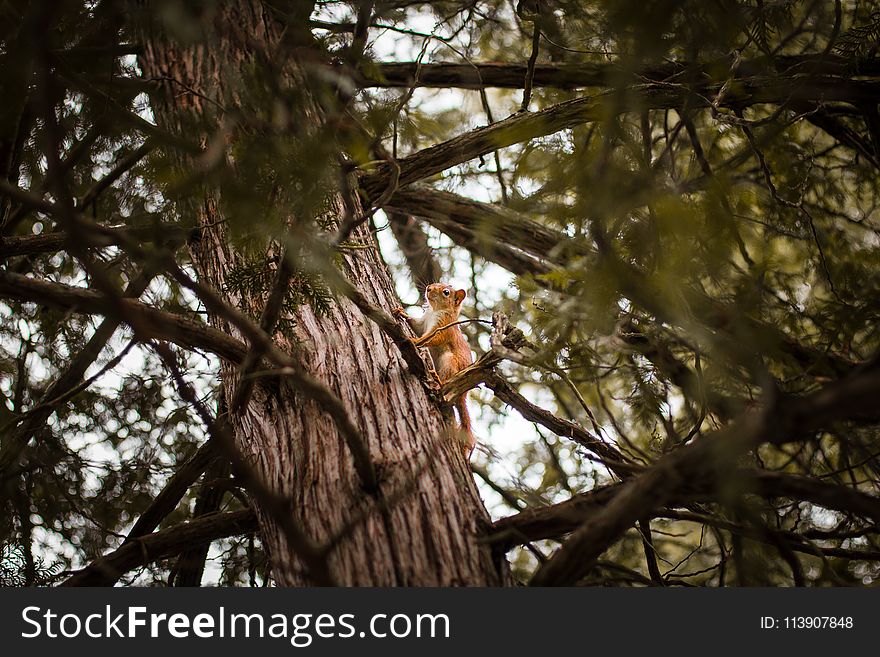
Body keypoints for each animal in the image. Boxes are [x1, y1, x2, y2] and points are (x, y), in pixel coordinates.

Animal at [396, 284, 474, 458]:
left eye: (446, 292)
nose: (428, 288)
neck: (435, 310)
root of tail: (463, 394)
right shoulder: (423, 322)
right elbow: (416, 325)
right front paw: (401, 313)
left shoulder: (442, 327)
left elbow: (431, 338)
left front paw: (415, 340)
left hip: (449, 361)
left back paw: (438, 381)